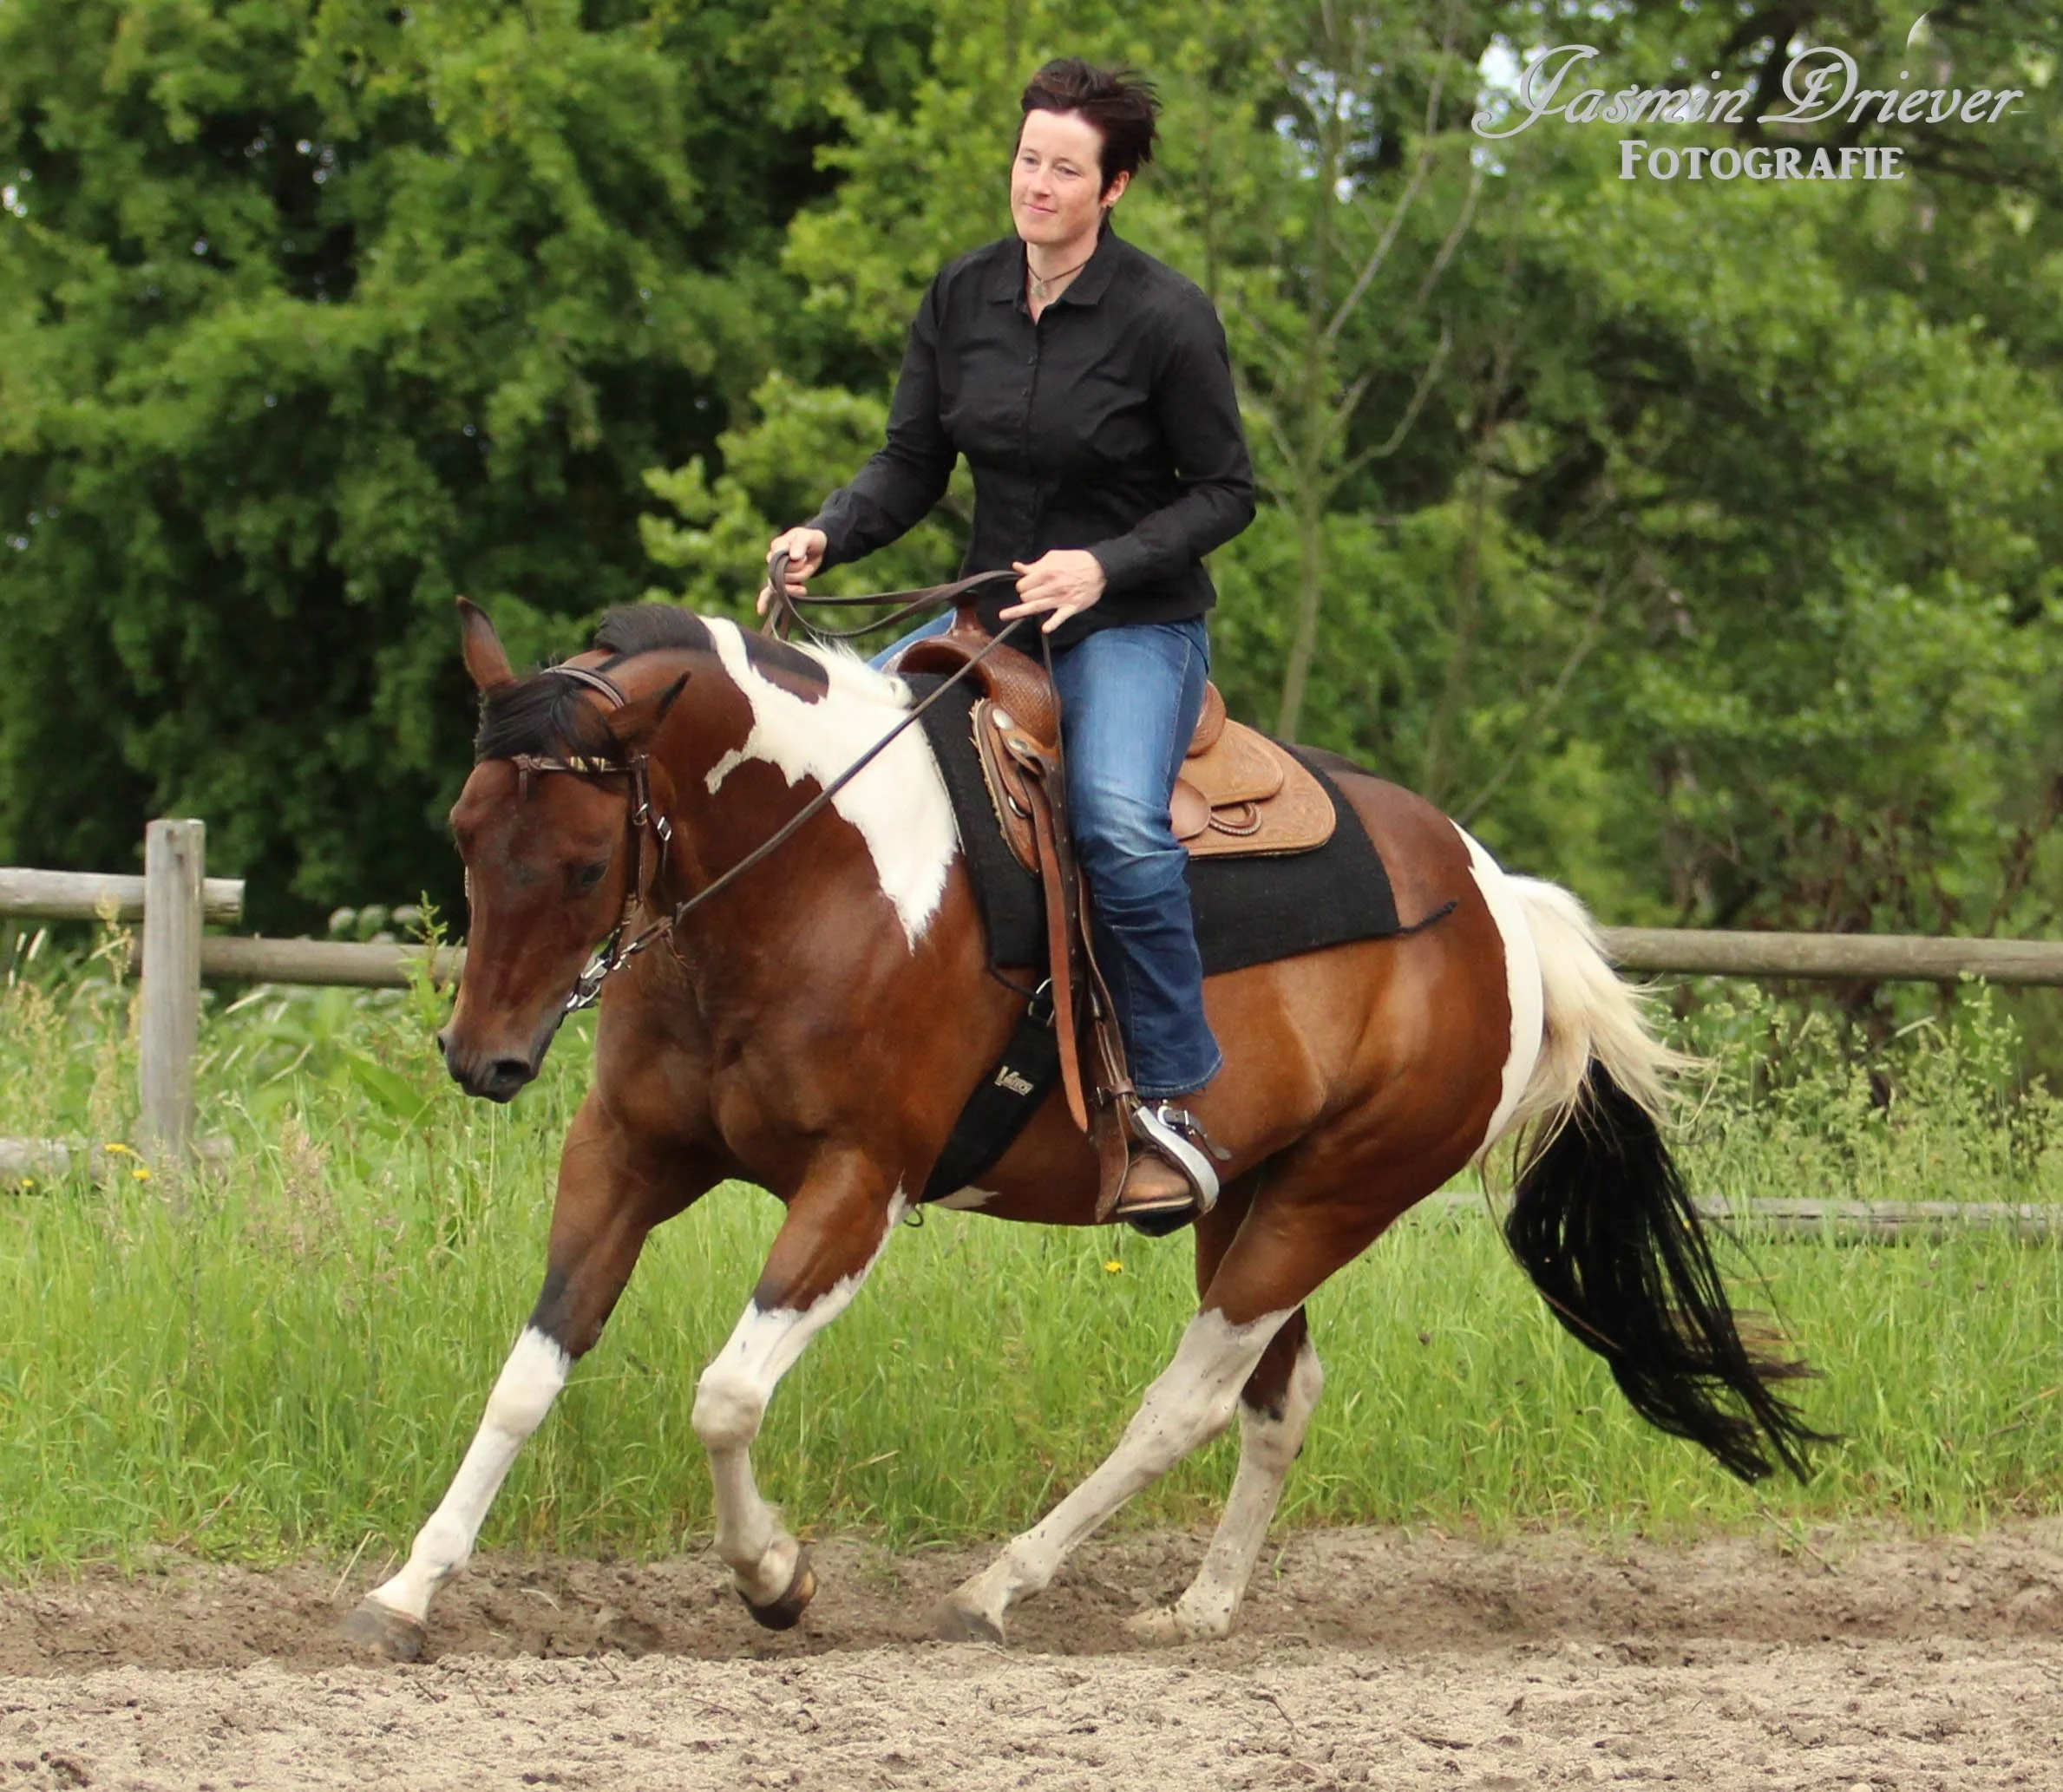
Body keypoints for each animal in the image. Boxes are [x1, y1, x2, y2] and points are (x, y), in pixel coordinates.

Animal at [342, 597, 1818, 1661]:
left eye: (587, 858)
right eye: (466, 829)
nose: (483, 1060)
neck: (810, 874)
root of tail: (1503, 903)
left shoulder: (856, 1186)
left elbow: (726, 1393)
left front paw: (774, 1577)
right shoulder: (628, 1153)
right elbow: (530, 1370)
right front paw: (409, 1589)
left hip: (1333, 1198)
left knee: (1189, 1398)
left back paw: (1000, 1584)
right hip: (1255, 1194)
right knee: (1277, 1395)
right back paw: (1198, 1608)